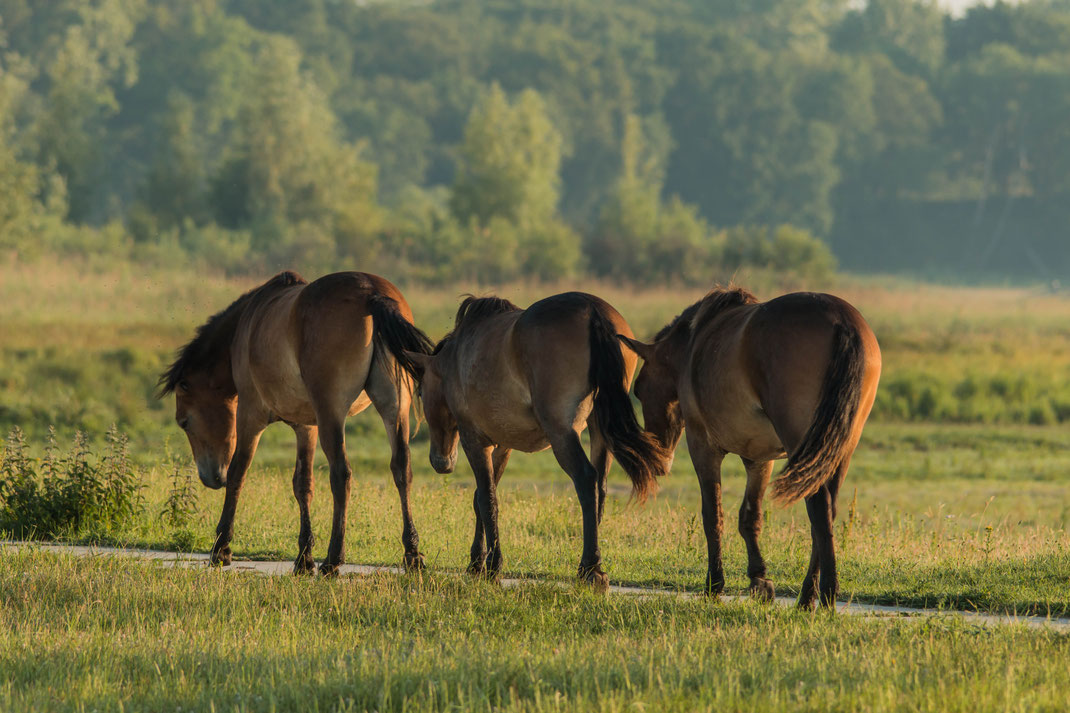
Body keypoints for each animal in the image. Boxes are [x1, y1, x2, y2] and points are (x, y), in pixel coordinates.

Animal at [158, 271, 434, 576]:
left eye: (184, 422)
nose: (210, 478)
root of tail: (371, 294)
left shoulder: (250, 414)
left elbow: (239, 472)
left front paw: (221, 548)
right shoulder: (307, 427)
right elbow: (303, 485)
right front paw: (304, 557)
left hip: (331, 412)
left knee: (341, 474)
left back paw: (334, 559)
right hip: (395, 408)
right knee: (401, 468)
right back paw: (412, 554)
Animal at [403, 292, 671, 590]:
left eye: (421, 392)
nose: (441, 462)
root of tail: (593, 311)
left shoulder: (475, 441)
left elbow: (487, 499)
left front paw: (492, 566)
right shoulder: (502, 446)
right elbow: (480, 499)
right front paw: (476, 563)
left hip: (562, 432)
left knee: (586, 480)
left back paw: (590, 569)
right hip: (599, 431)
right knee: (599, 487)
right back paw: (591, 562)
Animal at [619, 288, 881, 609]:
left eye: (639, 388)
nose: (659, 463)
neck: (696, 343)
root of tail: (842, 321)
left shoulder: (703, 447)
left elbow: (713, 515)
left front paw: (715, 584)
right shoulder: (759, 458)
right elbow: (750, 517)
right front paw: (759, 579)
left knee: (818, 508)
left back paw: (823, 594)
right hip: (838, 450)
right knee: (826, 512)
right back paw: (810, 595)